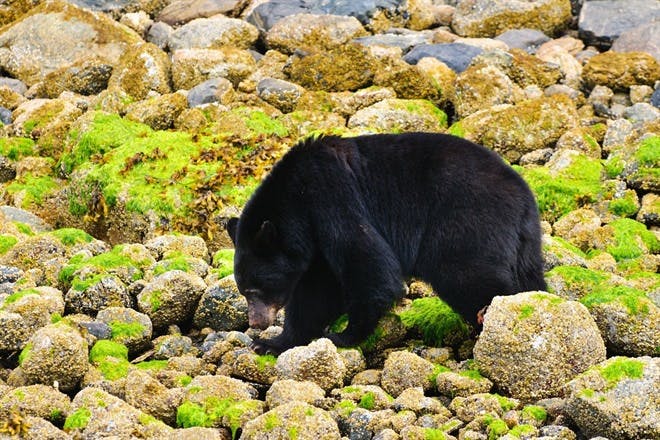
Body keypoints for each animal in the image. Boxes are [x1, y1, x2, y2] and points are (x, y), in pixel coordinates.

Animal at [226, 132, 546, 355]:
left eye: (255, 289)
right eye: (243, 290)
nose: (256, 323)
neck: (296, 198)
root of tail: (523, 196)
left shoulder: (331, 196)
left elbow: (368, 263)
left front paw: (344, 334)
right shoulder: (315, 245)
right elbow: (317, 292)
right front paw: (273, 342)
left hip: (466, 222)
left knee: (466, 274)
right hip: (525, 244)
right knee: (528, 278)